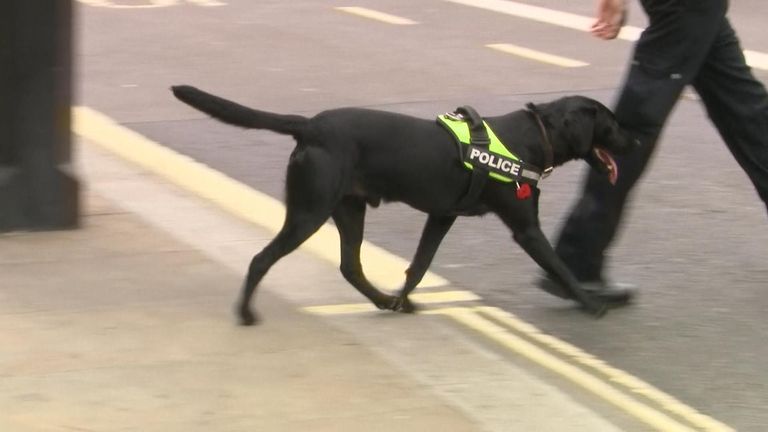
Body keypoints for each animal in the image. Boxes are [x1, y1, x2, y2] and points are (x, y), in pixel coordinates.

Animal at [171, 86, 640, 324]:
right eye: (612, 123)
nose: (637, 142)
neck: (534, 136)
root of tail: (310, 126)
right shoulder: (526, 229)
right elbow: (559, 266)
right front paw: (590, 302)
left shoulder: (442, 215)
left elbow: (419, 265)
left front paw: (401, 300)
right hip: (310, 211)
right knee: (260, 259)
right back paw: (245, 313)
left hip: (348, 209)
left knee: (350, 266)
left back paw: (382, 302)